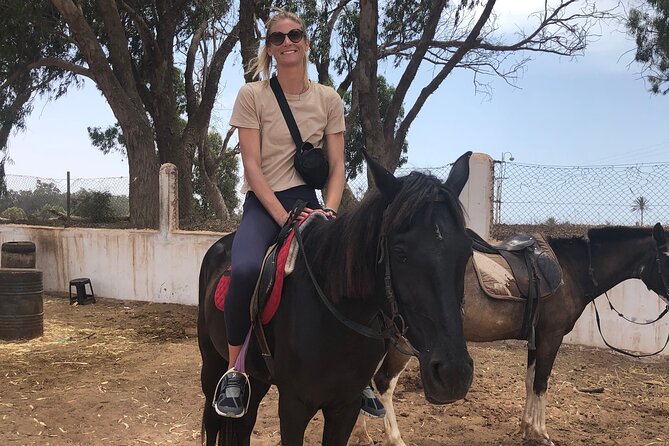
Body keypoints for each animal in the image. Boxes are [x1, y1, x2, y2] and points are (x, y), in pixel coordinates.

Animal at [197, 151, 476, 445]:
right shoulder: (294, 405)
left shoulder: (346, 406)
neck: (333, 320)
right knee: (214, 420)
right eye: (400, 254)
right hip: (213, 366)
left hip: (257, 376)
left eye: (467, 252)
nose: (453, 373)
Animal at [359, 223, 669, 446]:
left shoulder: (537, 337)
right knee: (384, 382)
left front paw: (527, 428)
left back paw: (363, 434)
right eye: (667, 258)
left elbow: (530, 381)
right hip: (402, 341)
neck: (572, 270)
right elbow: (541, 383)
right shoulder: (551, 336)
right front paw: (542, 434)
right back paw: (395, 439)